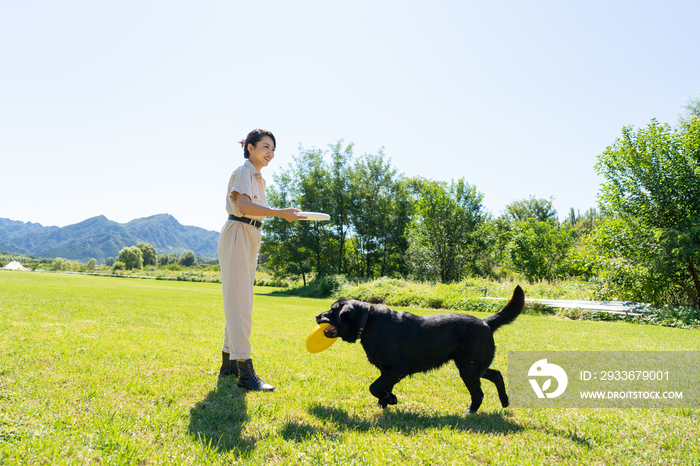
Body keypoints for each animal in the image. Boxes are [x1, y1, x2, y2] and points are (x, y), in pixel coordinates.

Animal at [318, 286, 524, 414]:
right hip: (472, 366)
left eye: (331, 311)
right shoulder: (387, 371)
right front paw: (384, 402)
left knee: (479, 393)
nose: (316, 316)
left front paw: (390, 399)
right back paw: (505, 401)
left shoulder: (396, 369)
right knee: (496, 374)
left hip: (468, 369)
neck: (368, 322)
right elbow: (381, 387)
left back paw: (470, 411)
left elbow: (374, 386)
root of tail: (485, 322)